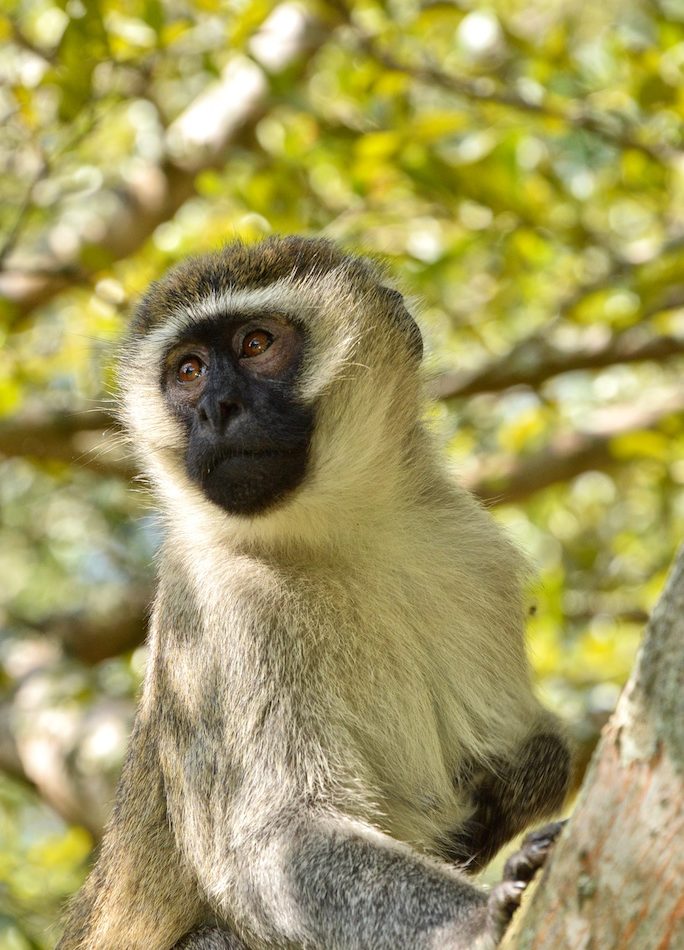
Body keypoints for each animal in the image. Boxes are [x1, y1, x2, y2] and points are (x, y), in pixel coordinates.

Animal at [58, 236, 571, 950]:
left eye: (256, 343)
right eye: (188, 370)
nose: (216, 408)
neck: (338, 535)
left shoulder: (474, 556)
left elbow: (542, 749)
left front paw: (506, 796)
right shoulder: (219, 604)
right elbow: (275, 841)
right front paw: (479, 917)